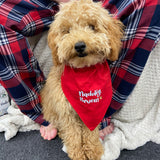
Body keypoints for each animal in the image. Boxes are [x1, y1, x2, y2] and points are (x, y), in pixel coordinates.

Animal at [40, 0, 123, 159]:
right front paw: (77, 153)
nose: (79, 45)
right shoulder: (66, 112)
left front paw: (93, 150)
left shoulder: (93, 113)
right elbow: (73, 134)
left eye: (91, 26)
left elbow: (90, 132)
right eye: (67, 31)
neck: (84, 72)